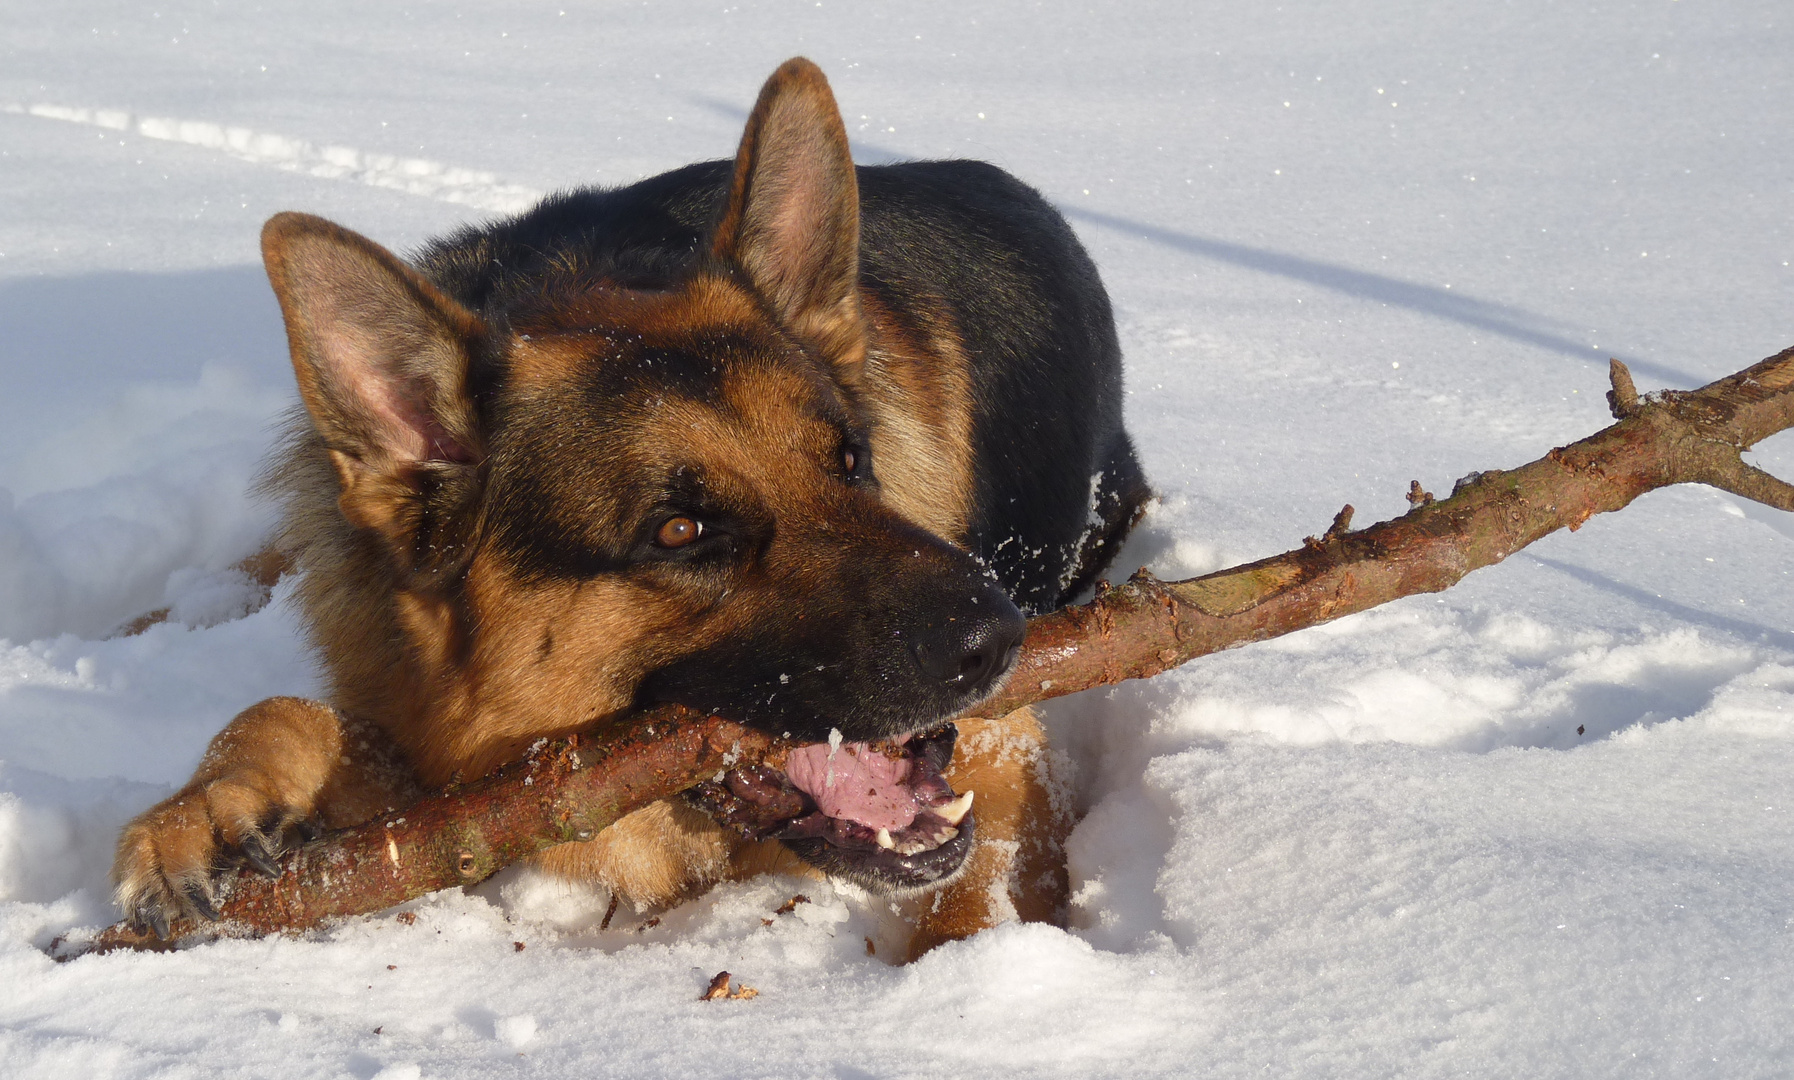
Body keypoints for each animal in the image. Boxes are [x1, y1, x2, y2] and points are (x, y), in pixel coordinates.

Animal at [112, 58, 1148, 954]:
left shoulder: (1006, 750)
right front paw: (207, 808)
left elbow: (982, 889)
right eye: (680, 531)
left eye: (851, 463)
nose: (1001, 639)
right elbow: (288, 708)